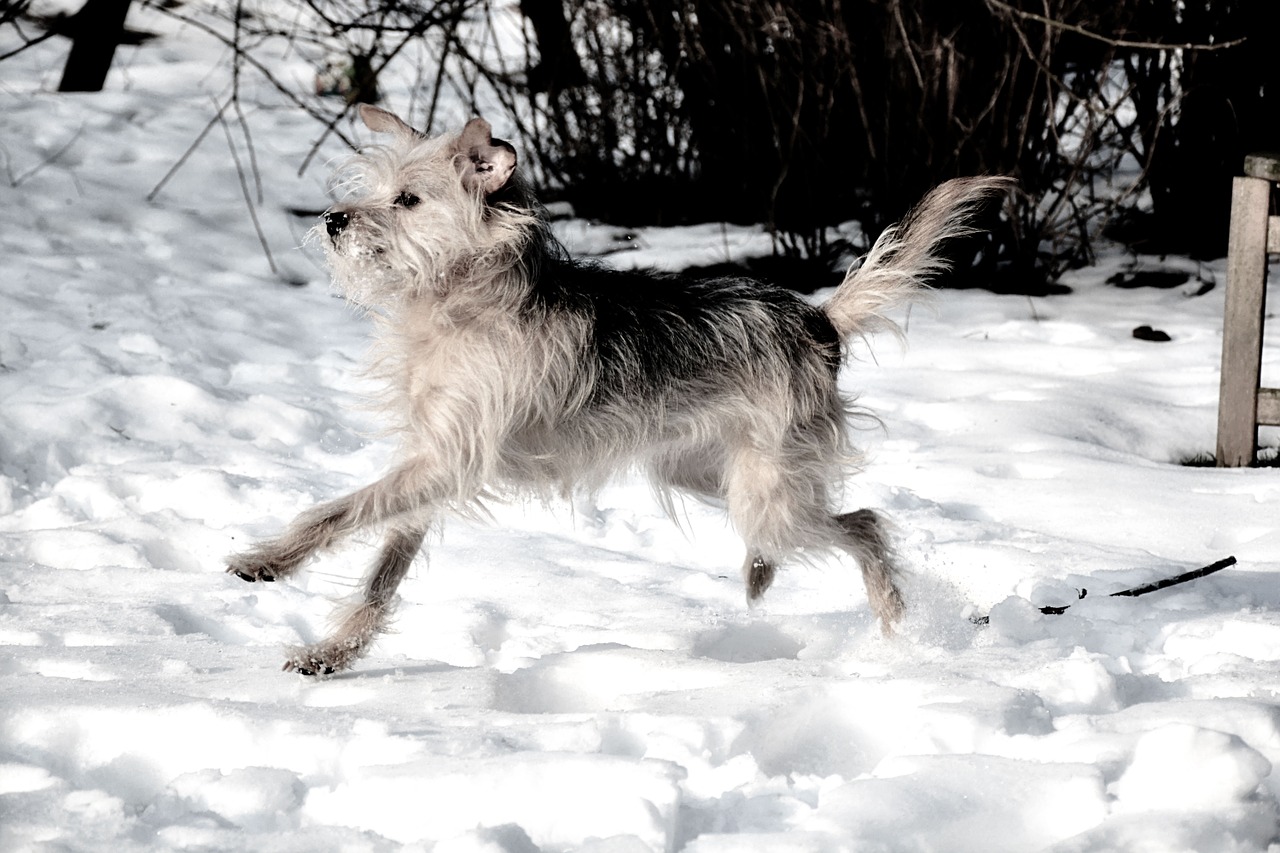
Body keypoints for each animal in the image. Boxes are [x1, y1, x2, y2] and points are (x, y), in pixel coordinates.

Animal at [227, 106, 1008, 676]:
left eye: (409, 200)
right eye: (367, 192)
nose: (333, 220)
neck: (461, 303)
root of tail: (816, 319)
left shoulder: (445, 461)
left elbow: (334, 511)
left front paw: (269, 559)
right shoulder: (433, 463)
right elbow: (380, 574)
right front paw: (335, 653)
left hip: (766, 496)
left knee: (867, 523)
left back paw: (897, 630)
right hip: (702, 472)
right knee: (844, 522)